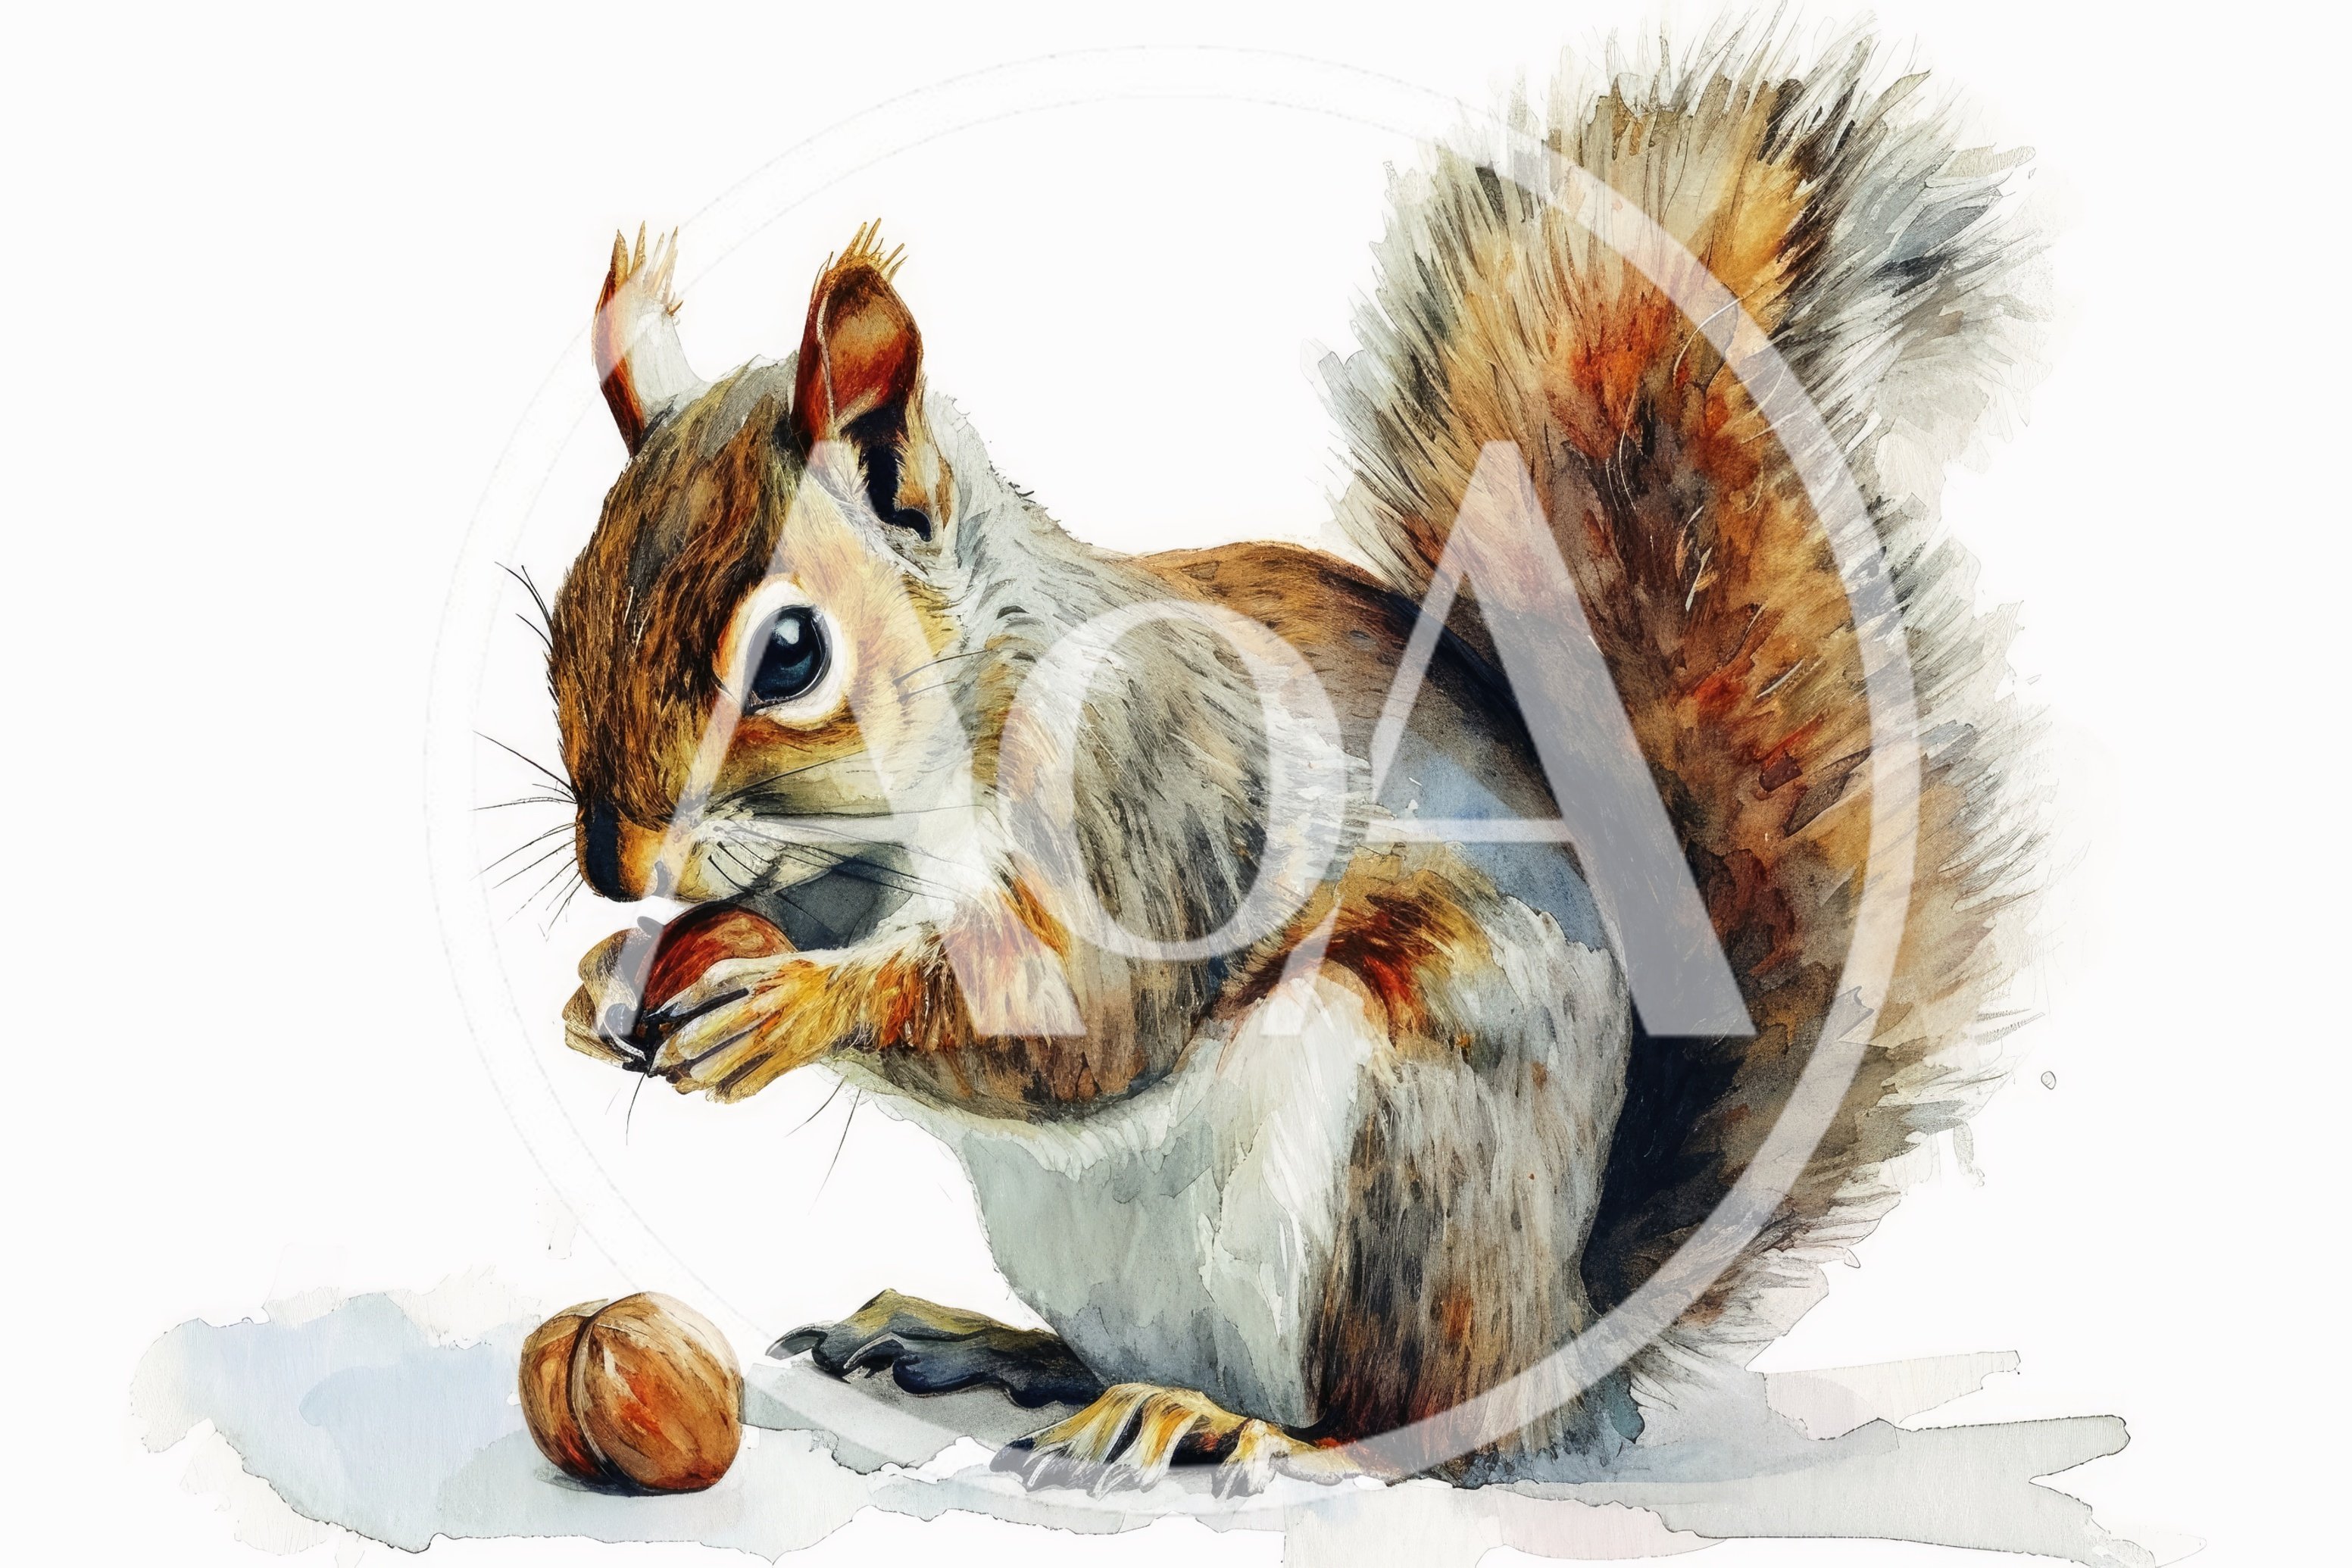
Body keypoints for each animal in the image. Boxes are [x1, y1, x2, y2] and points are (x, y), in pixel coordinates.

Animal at [545, 33, 2040, 1493]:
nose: (618, 868)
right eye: (563, 606)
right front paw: (619, 973)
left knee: (1415, 1432)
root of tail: (1568, 1338)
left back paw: (1238, 1429)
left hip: (1397, 1175)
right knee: (1112, 1355)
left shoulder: (1145, 793)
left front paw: (788, 1003)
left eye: (791, 654)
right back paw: (986, 1344)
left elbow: (1075, 1014)